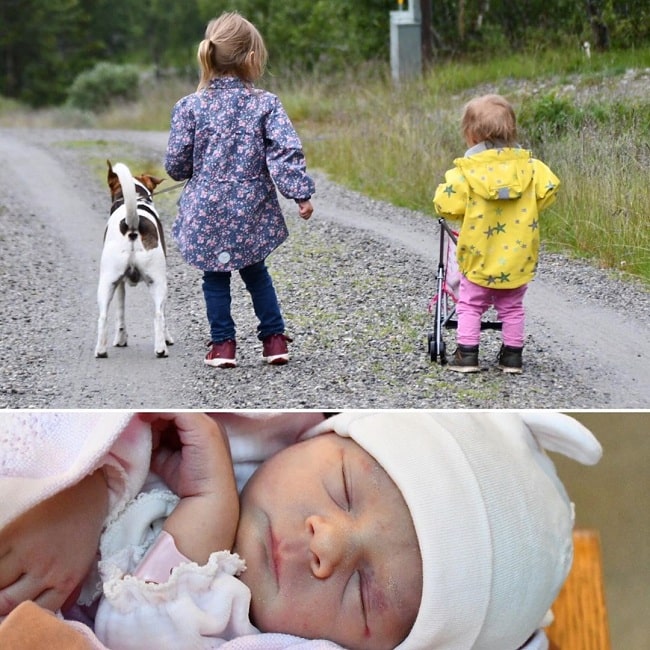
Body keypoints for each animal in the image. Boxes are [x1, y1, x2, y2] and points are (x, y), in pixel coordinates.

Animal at [94, 160, 172, 356]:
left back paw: (101, 350)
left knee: (103, 316)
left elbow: (120, 313)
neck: (136, 197)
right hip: (158, 282)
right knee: (159, 314)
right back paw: (161, 348)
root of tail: (132, 226)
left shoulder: (119, 283)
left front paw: (121, 339)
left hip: (107, 282)